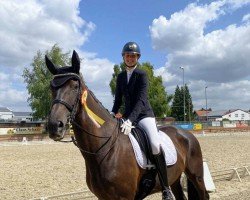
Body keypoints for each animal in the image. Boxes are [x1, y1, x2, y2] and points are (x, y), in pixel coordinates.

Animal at [45, 50, 209, 199]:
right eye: (51, 87)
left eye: (75, 86)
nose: (54, 125)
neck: (104, 150)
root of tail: (186, 134)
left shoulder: (125, 197)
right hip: (174, 179)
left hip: (197, 176)